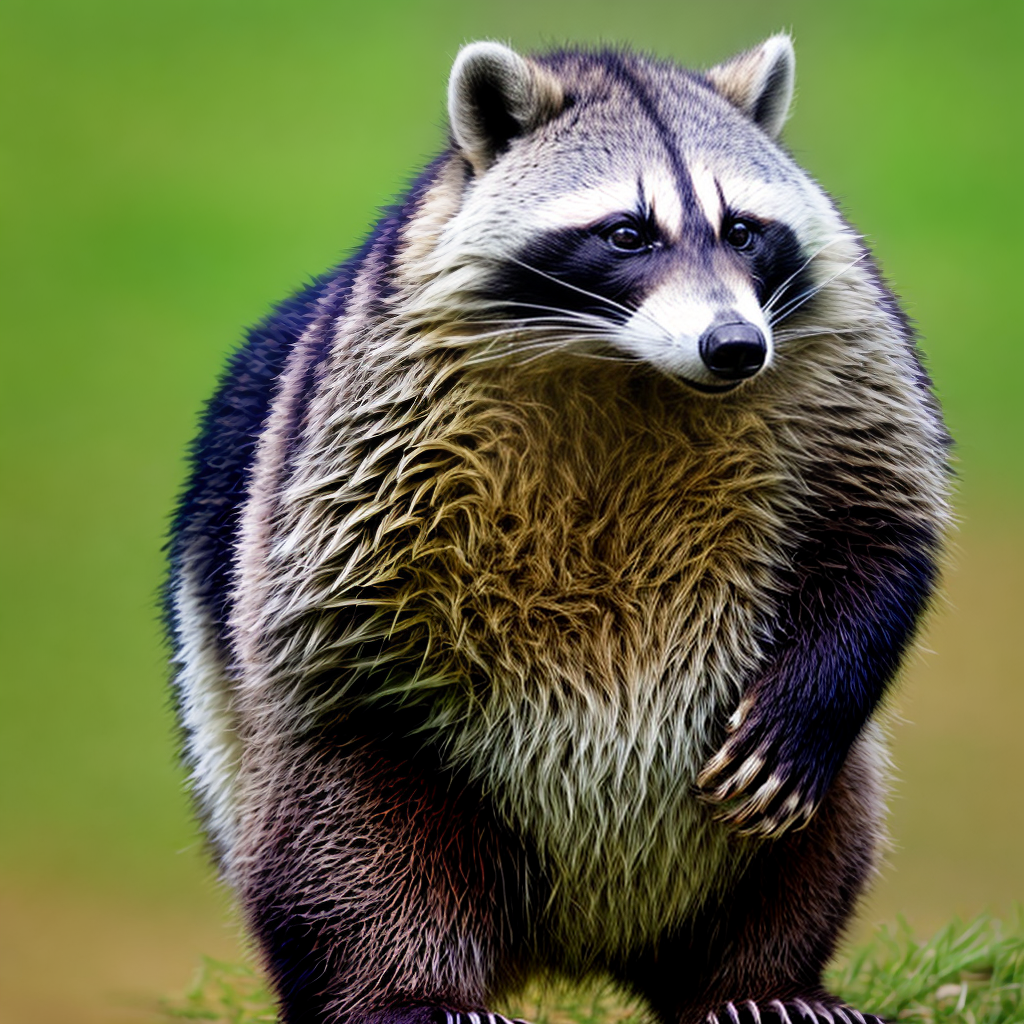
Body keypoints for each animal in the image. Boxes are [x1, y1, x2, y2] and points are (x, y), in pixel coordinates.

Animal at [168, 35, 950, 1024]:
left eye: (742, 229)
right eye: (627, 233)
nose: (735, 347)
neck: (633, 364)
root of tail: (580, 941)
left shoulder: (843, 337)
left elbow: (883, 523)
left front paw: (809, 702)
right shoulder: (371, 402)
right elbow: (339, 597)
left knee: (824, 831)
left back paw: (760, 978)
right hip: (314, 778)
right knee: (352, 829)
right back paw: (403, 987)